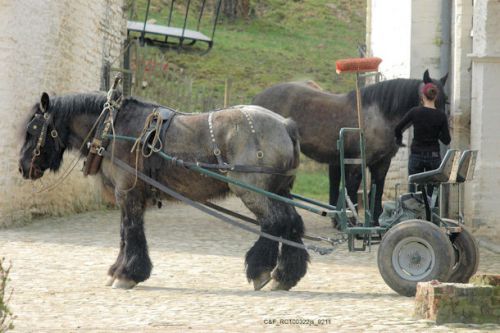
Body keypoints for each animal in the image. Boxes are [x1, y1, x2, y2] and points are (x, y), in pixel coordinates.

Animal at [18, 92, 308, 290]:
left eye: (33, 129)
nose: (23, 167)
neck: (112, 129)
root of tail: (285, 124)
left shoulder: (129, 193)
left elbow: (131, 231)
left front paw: (127, 274)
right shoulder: (128, 195)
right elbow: (124, 233)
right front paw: (118, 270)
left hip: (253, 192)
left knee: (274, 223)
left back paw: (261, 271)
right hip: (279, 191)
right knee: (292, 224)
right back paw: (286, 275)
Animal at [254, 69, 450, 223]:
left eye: (446, 99)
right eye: (431, 94)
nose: (442, 130)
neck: (380, 115)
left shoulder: (382, 163)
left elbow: (376, 191)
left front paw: (375, 223)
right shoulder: (357, 162)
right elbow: (352, 189)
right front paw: (350, 222)